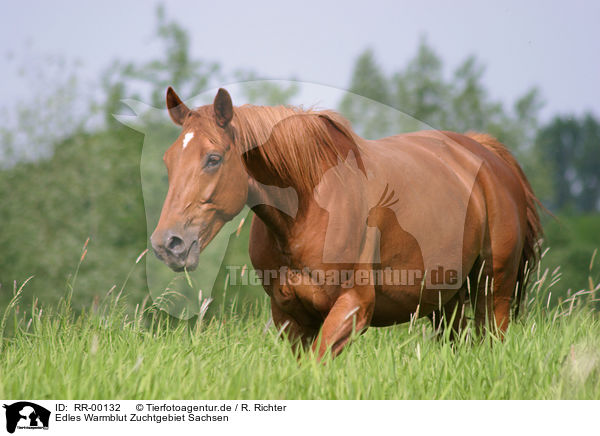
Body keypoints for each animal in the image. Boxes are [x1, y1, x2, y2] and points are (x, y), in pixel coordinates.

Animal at [151, 87, 544, 360]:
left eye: (213, 158)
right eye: (168, 160)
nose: (167, 243)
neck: (309, 207)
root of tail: (487, 156)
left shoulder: (352, 307)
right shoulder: (289, 314)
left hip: (494, 291)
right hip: (445, 301)